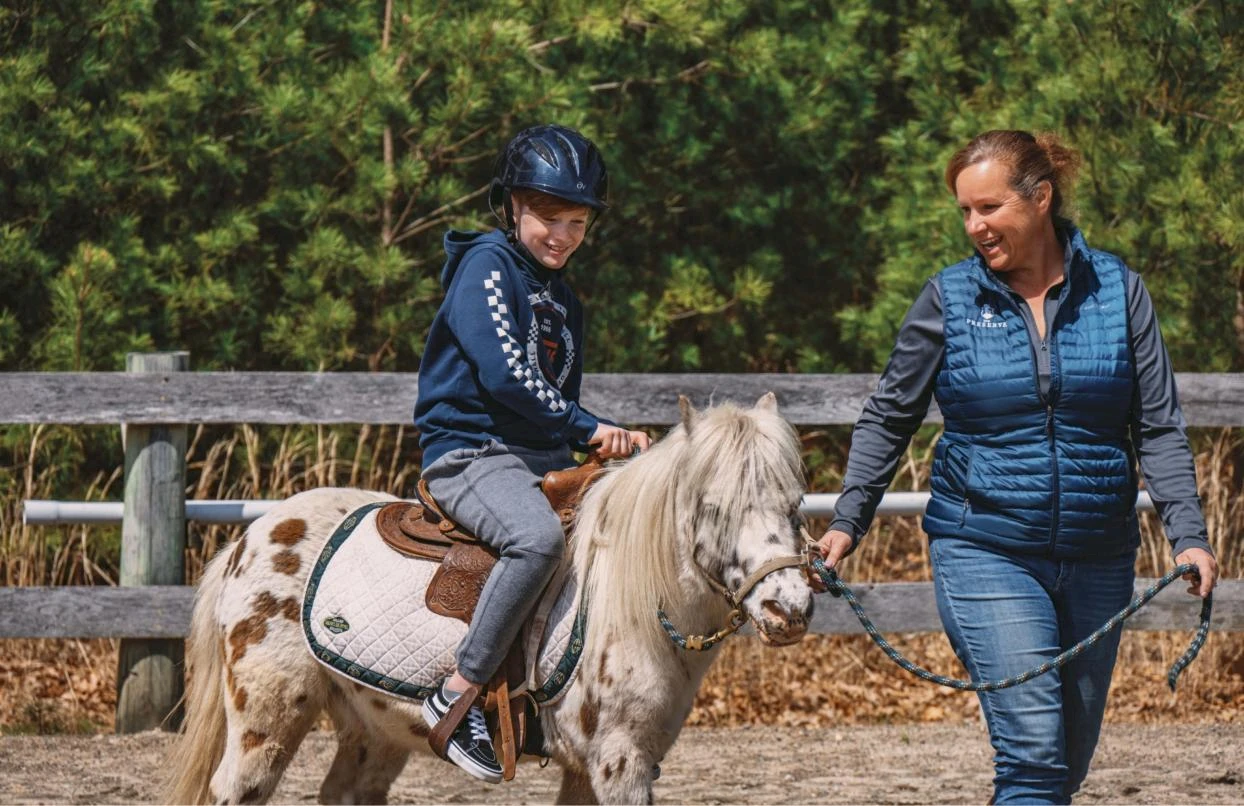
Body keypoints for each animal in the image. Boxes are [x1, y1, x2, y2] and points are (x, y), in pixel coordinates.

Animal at [170, 393, 821, 801]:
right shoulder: (620, 763)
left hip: (374, 731)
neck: (628, 596)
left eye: (795, 502)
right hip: (266, 721)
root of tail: (249, 538)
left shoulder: (597, 767)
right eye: (713, 506)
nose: (787, 610)